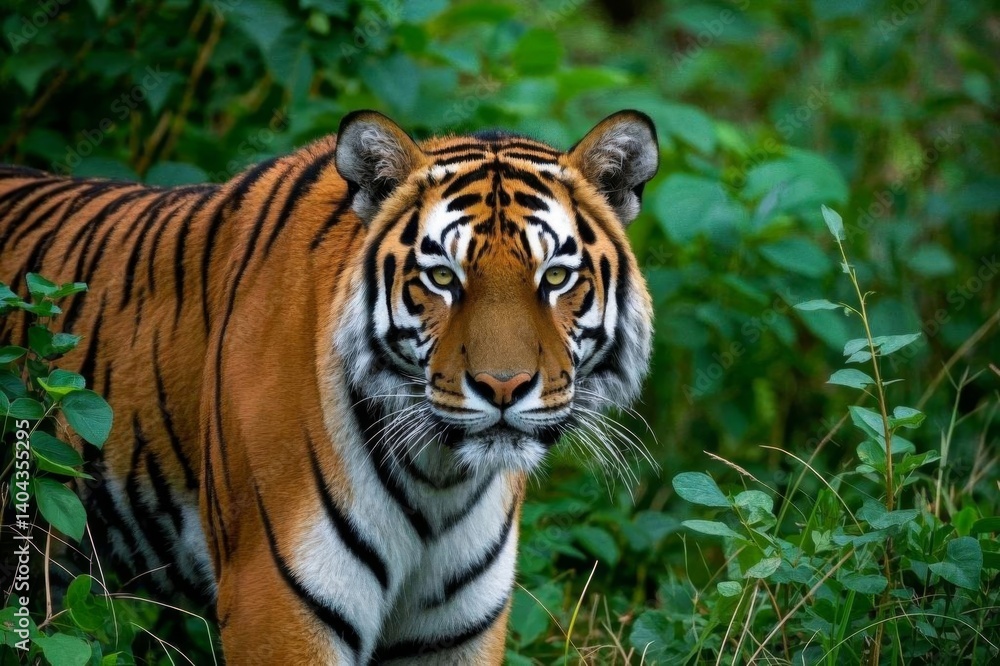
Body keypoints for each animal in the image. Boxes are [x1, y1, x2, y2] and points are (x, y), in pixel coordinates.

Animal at [0, 109, 658, 664]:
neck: (440, 480)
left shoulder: (455, 630)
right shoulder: (277, 605)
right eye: (443, 277)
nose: (503, 387)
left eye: (556, 277)